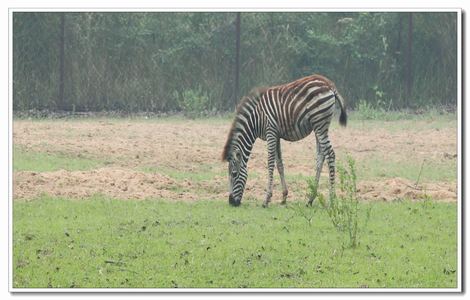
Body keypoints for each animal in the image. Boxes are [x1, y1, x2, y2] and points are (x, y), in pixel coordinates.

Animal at [222, 74, 346, 207]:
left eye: (234, 174)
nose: (231, 202)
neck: (255, 119)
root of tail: (329, 84)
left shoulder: (270, 132)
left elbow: (270, 163)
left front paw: (266, 199)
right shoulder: (276, 135)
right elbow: (279, 164)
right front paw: (284, 197)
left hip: (320, 123)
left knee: (330, 154)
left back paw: (332, 199)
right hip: (319, 127)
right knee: (321, 157)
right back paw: (310, 199)